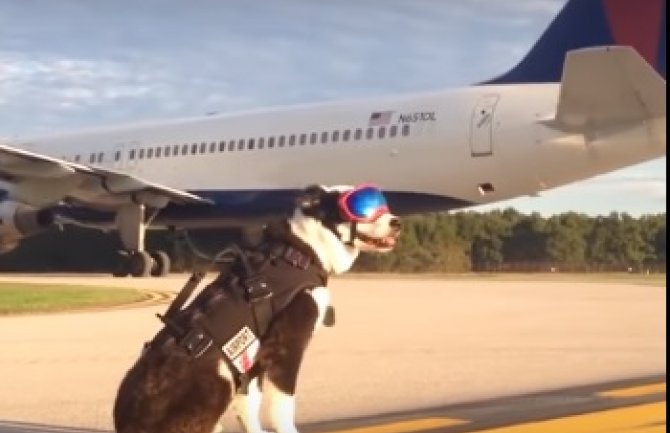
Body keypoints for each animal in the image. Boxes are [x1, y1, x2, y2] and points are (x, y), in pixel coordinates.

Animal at [113, 184, 402, 432]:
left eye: (382, 203)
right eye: (360, 207)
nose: (397, 222)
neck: (302, 252)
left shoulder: (251, 362)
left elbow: (249, 407)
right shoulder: (285, 348)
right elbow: (281, 408)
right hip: (217, 381)